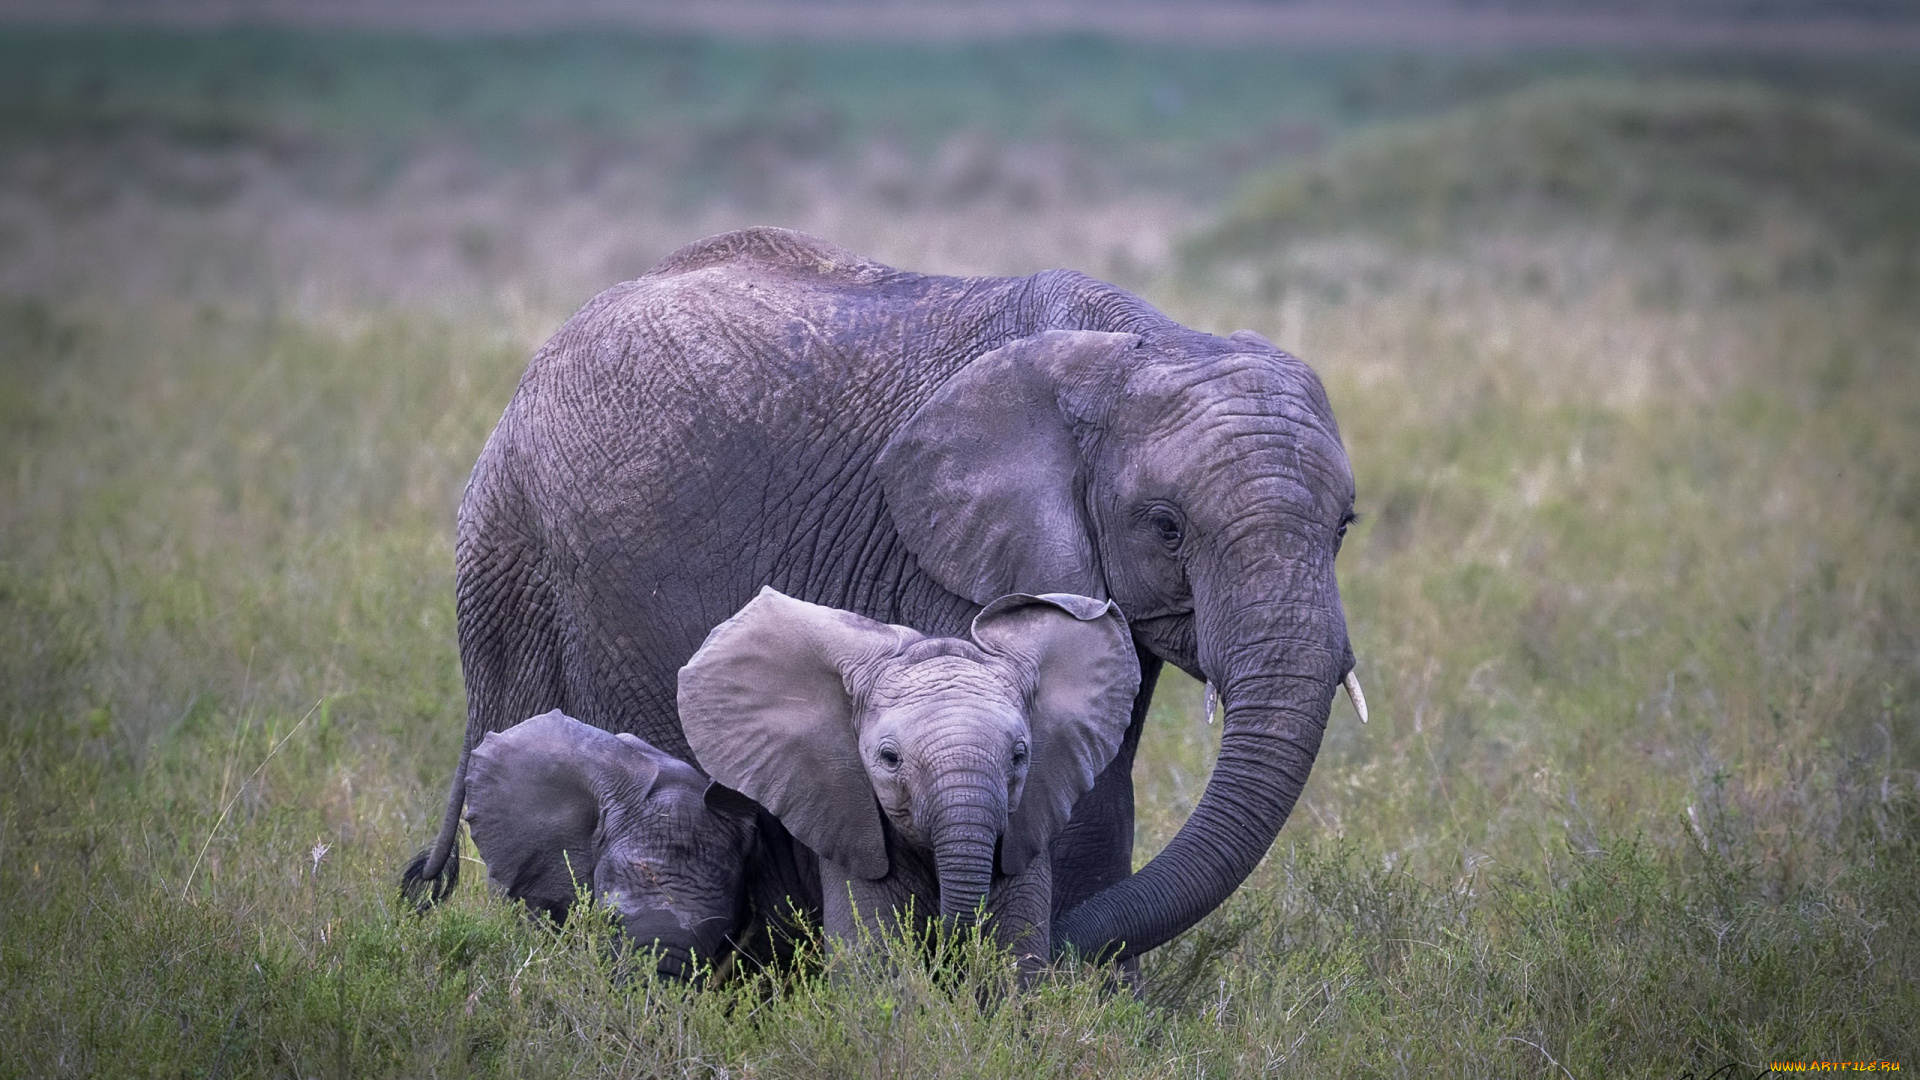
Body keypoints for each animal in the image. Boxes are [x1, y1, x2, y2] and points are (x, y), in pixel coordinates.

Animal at [679, 584, 1136, 972]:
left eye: (1019, 756)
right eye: (890, 758)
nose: (946, 948)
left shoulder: (1023, 834)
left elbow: (1016, 970)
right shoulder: (852, 827)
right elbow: (876, 971)